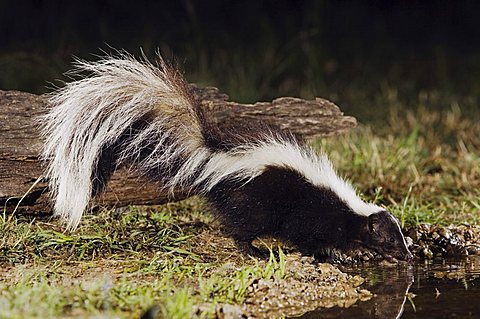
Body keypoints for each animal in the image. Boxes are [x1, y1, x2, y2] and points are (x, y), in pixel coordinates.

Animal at [41, 53, 412, 262]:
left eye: (401, 237)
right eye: (390, 238)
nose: (407, 255)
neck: (349, 208)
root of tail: (214, 156)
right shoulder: (311, 212)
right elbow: (307, 238)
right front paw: (332, 257)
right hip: (252, 201)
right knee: (240, 228)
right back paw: (255, 252)